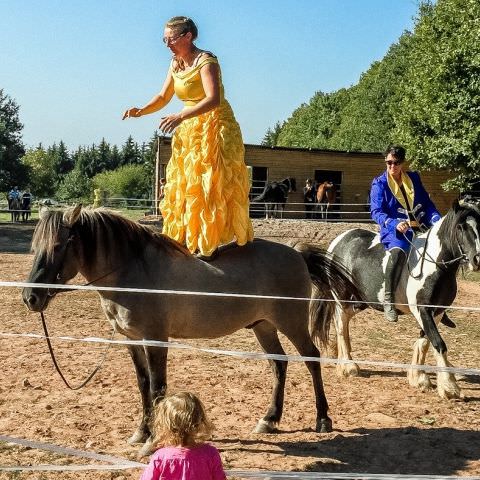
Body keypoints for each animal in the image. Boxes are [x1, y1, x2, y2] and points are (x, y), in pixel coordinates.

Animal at [22, 205, 360, 454]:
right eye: (35, 246)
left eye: (57, 246)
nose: (30, 297)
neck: (133, 271)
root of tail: (297, 253)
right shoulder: (131, 341)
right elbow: (143, 386)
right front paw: (141, 431)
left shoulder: (155, 339)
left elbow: (157, 388)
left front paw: (151, 440)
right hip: (263, 326)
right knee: (279, 364)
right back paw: (269, 419)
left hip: (291, 323)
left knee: (312, 360)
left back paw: (323, 418)